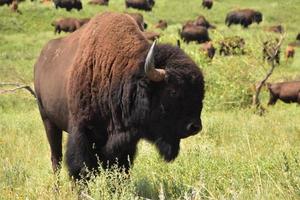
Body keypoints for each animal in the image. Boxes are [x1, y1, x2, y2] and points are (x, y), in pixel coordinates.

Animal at [34, 12, 205, 180]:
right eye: (173, 91)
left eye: (200, 90)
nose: (195, 127)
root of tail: (40, 61)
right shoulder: (81, 132)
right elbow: (80, 169)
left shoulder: (125, 142)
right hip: (48, 121)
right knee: (56, 159)